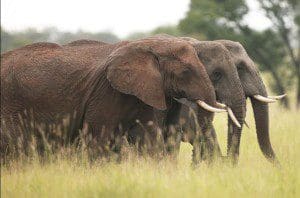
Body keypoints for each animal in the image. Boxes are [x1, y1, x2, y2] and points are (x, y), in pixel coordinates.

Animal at [0, 35, 227, 159]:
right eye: (186, 72)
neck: (149, 46)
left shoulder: (141, 91)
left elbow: (148, 139)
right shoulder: (106, 92)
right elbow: (100, 139)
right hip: (10, 104)